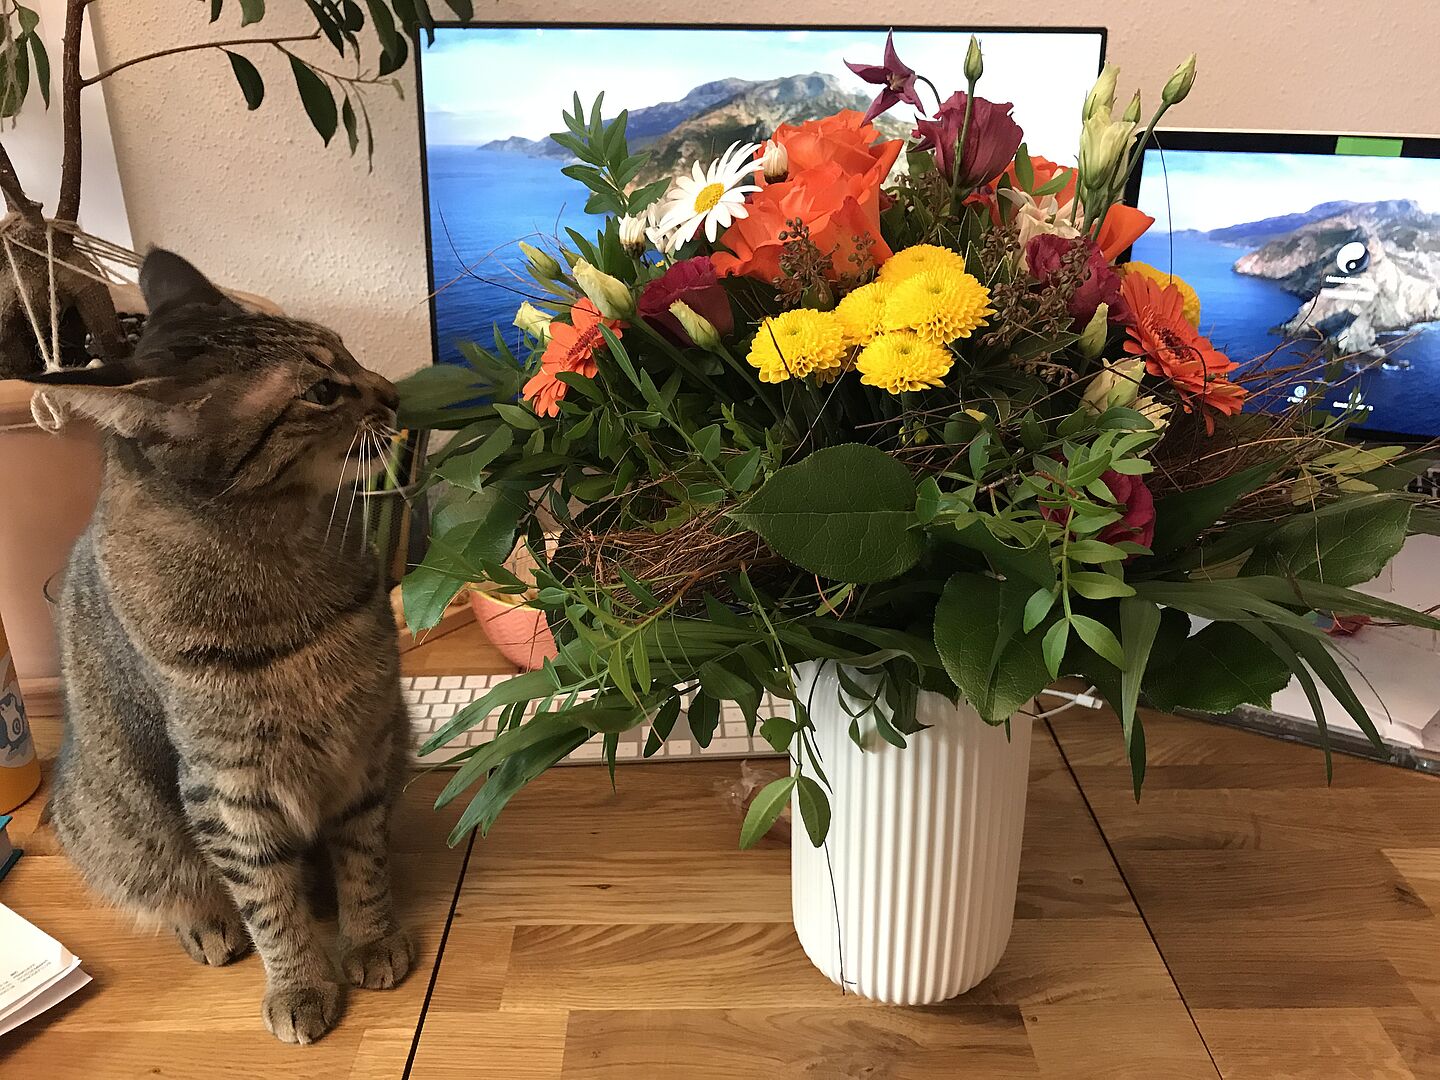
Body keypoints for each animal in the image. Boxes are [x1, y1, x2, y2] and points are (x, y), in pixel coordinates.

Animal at [26, 249, 411, 1042]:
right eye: (323, 390)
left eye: (348, 351)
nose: (394, 393)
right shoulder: (226, 785)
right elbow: (267, 900)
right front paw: (298, 983)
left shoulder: (366, 744)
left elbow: (363, 859)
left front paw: (371, 937)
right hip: (123, 821)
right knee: (177, 882)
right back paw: (206, 925)